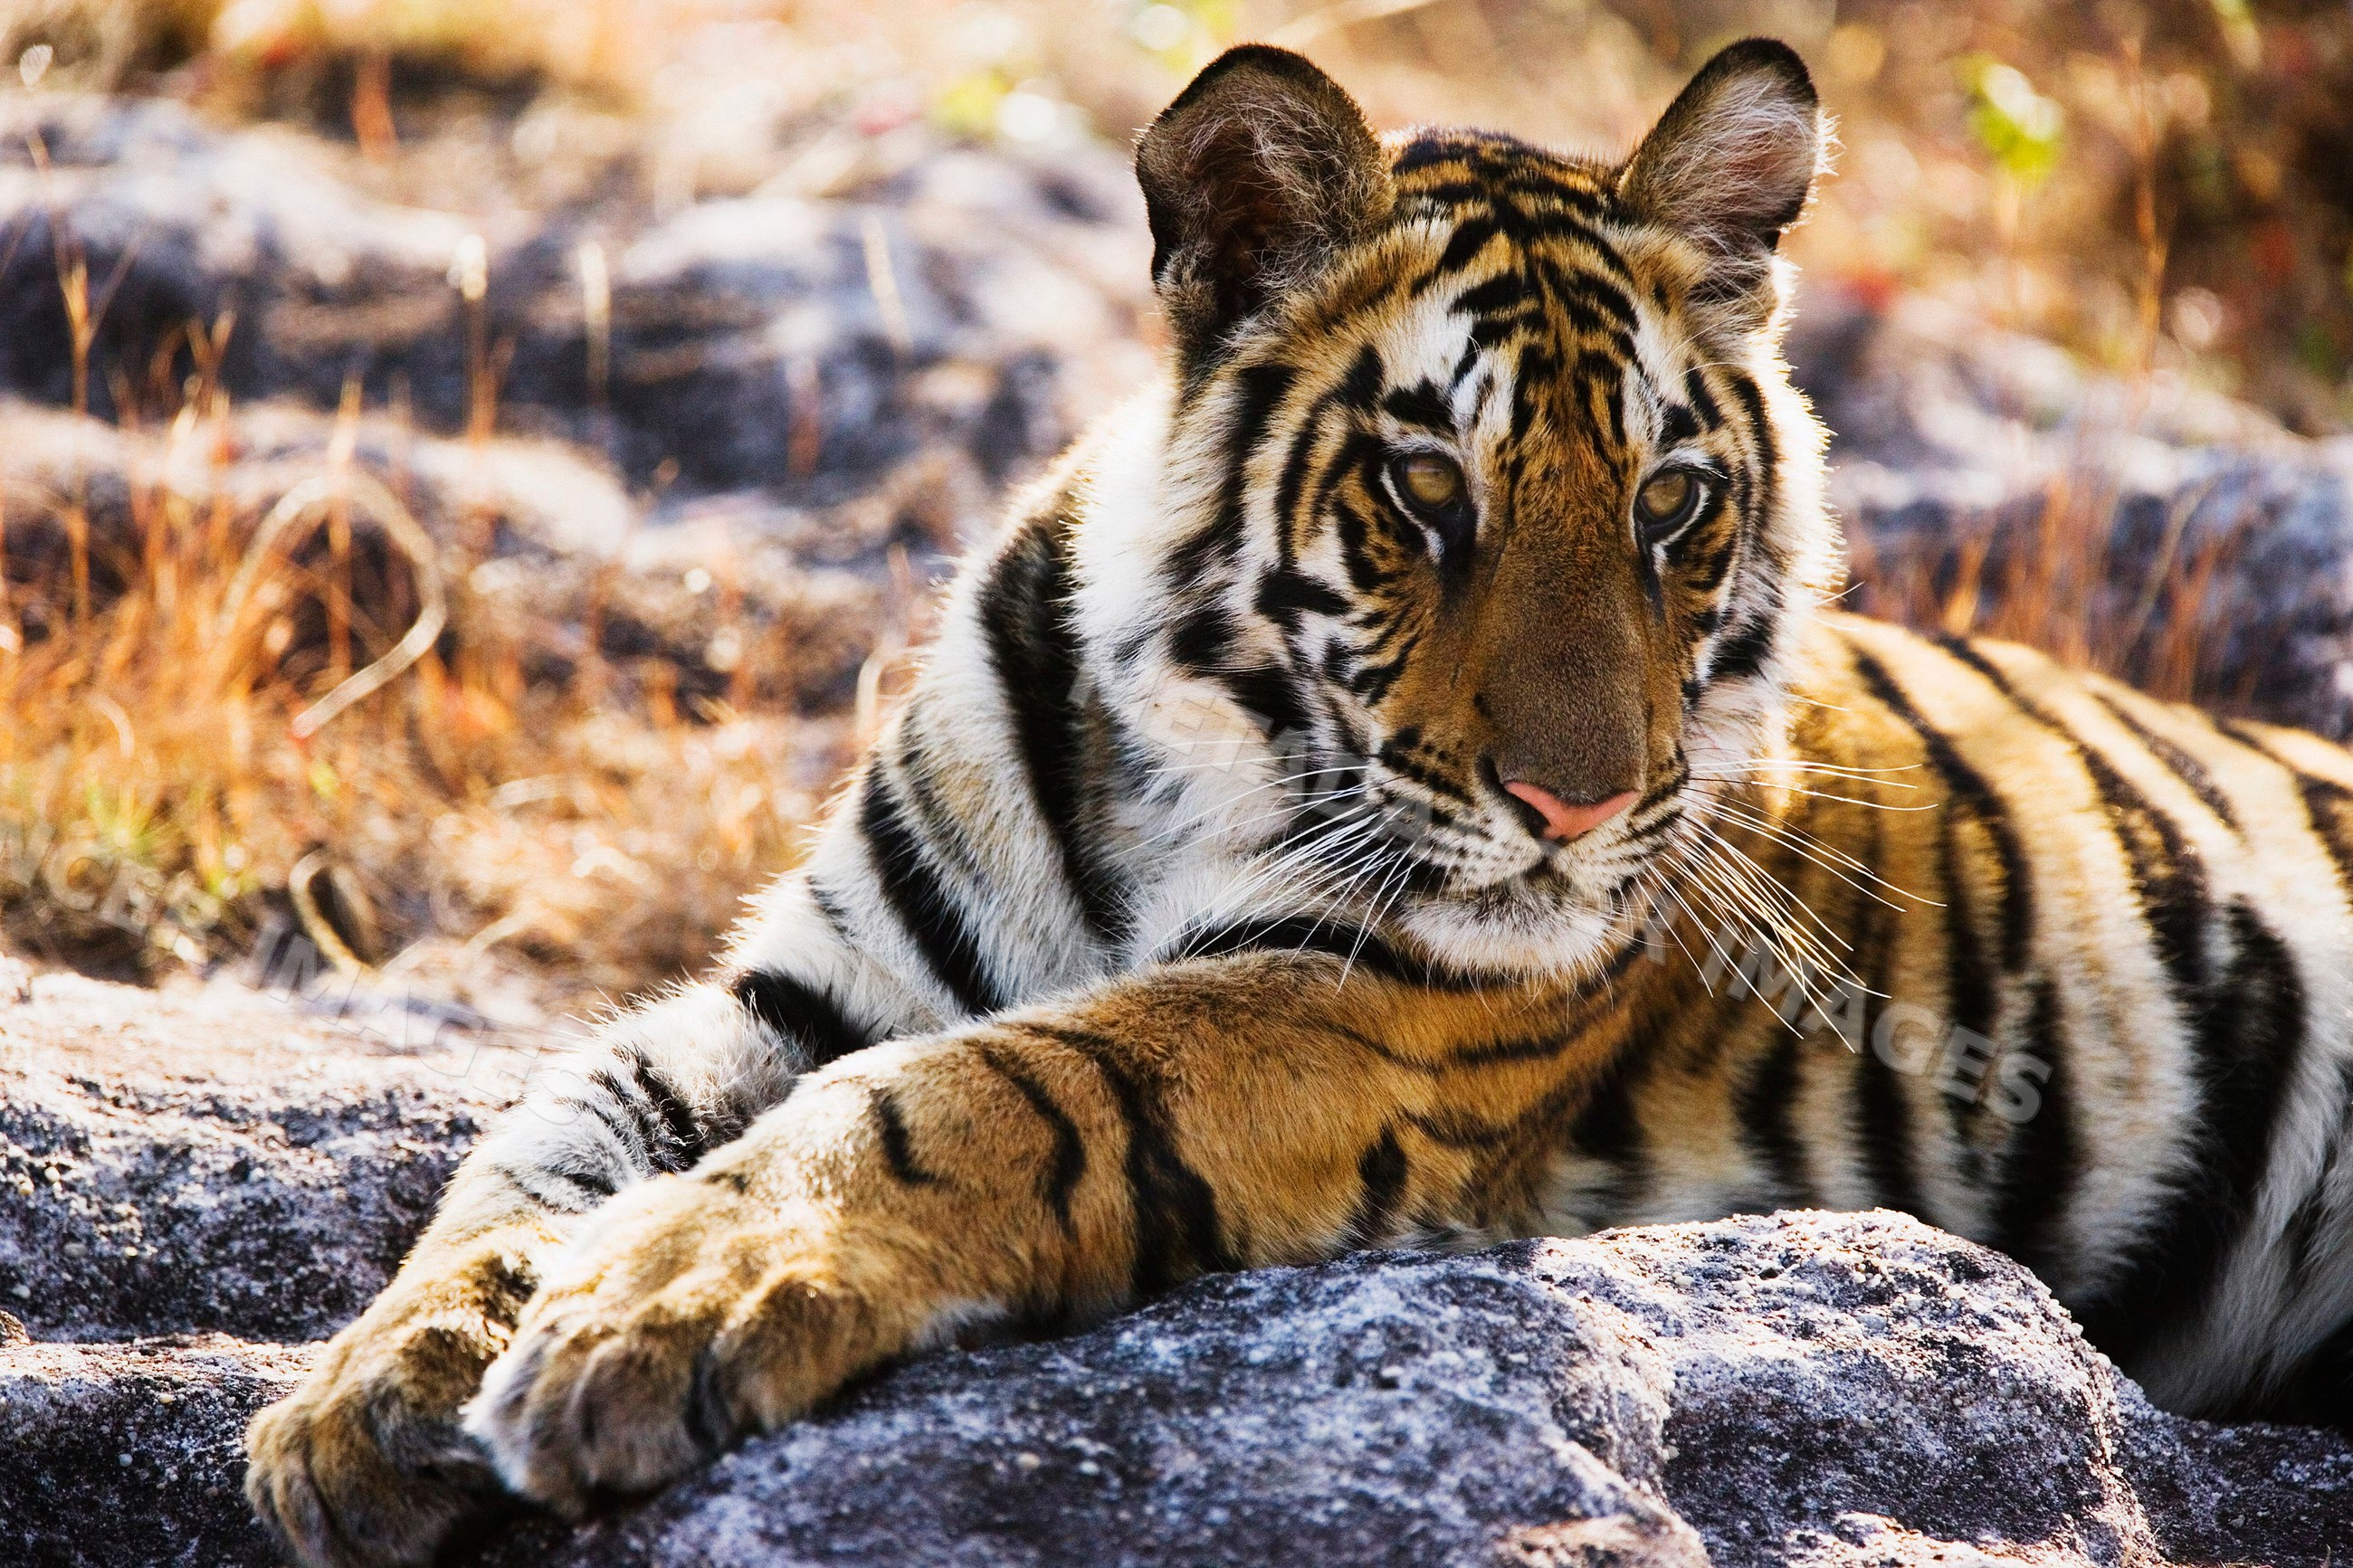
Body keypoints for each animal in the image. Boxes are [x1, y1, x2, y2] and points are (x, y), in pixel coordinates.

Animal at [245, 38, 2353, 1567]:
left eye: (1672, 503)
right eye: (1428, 492)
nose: (1580, 808)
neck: (1166, 762)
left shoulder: (1371, 1008)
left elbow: (967, 1093)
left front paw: (650, 1317)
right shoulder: (805, 980)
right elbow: (549, 1132)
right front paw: (371, 1396)